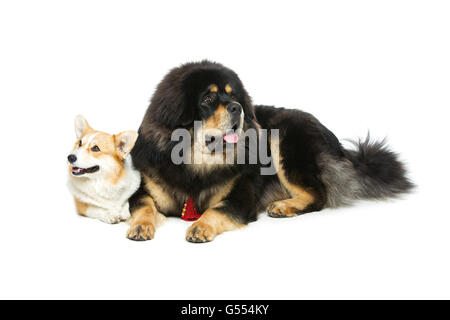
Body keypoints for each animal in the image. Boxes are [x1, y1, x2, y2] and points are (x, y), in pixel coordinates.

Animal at [128, 60, 414, 242]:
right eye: (207, 99)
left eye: (233, 97)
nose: (237, 108)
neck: (196, 163)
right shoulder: (145, 189)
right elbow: (143, 206)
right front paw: (140, 226)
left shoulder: (240, 198)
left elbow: (216, 210)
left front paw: (200, 227)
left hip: (284, 138)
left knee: (318, 195)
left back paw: (284, 206)